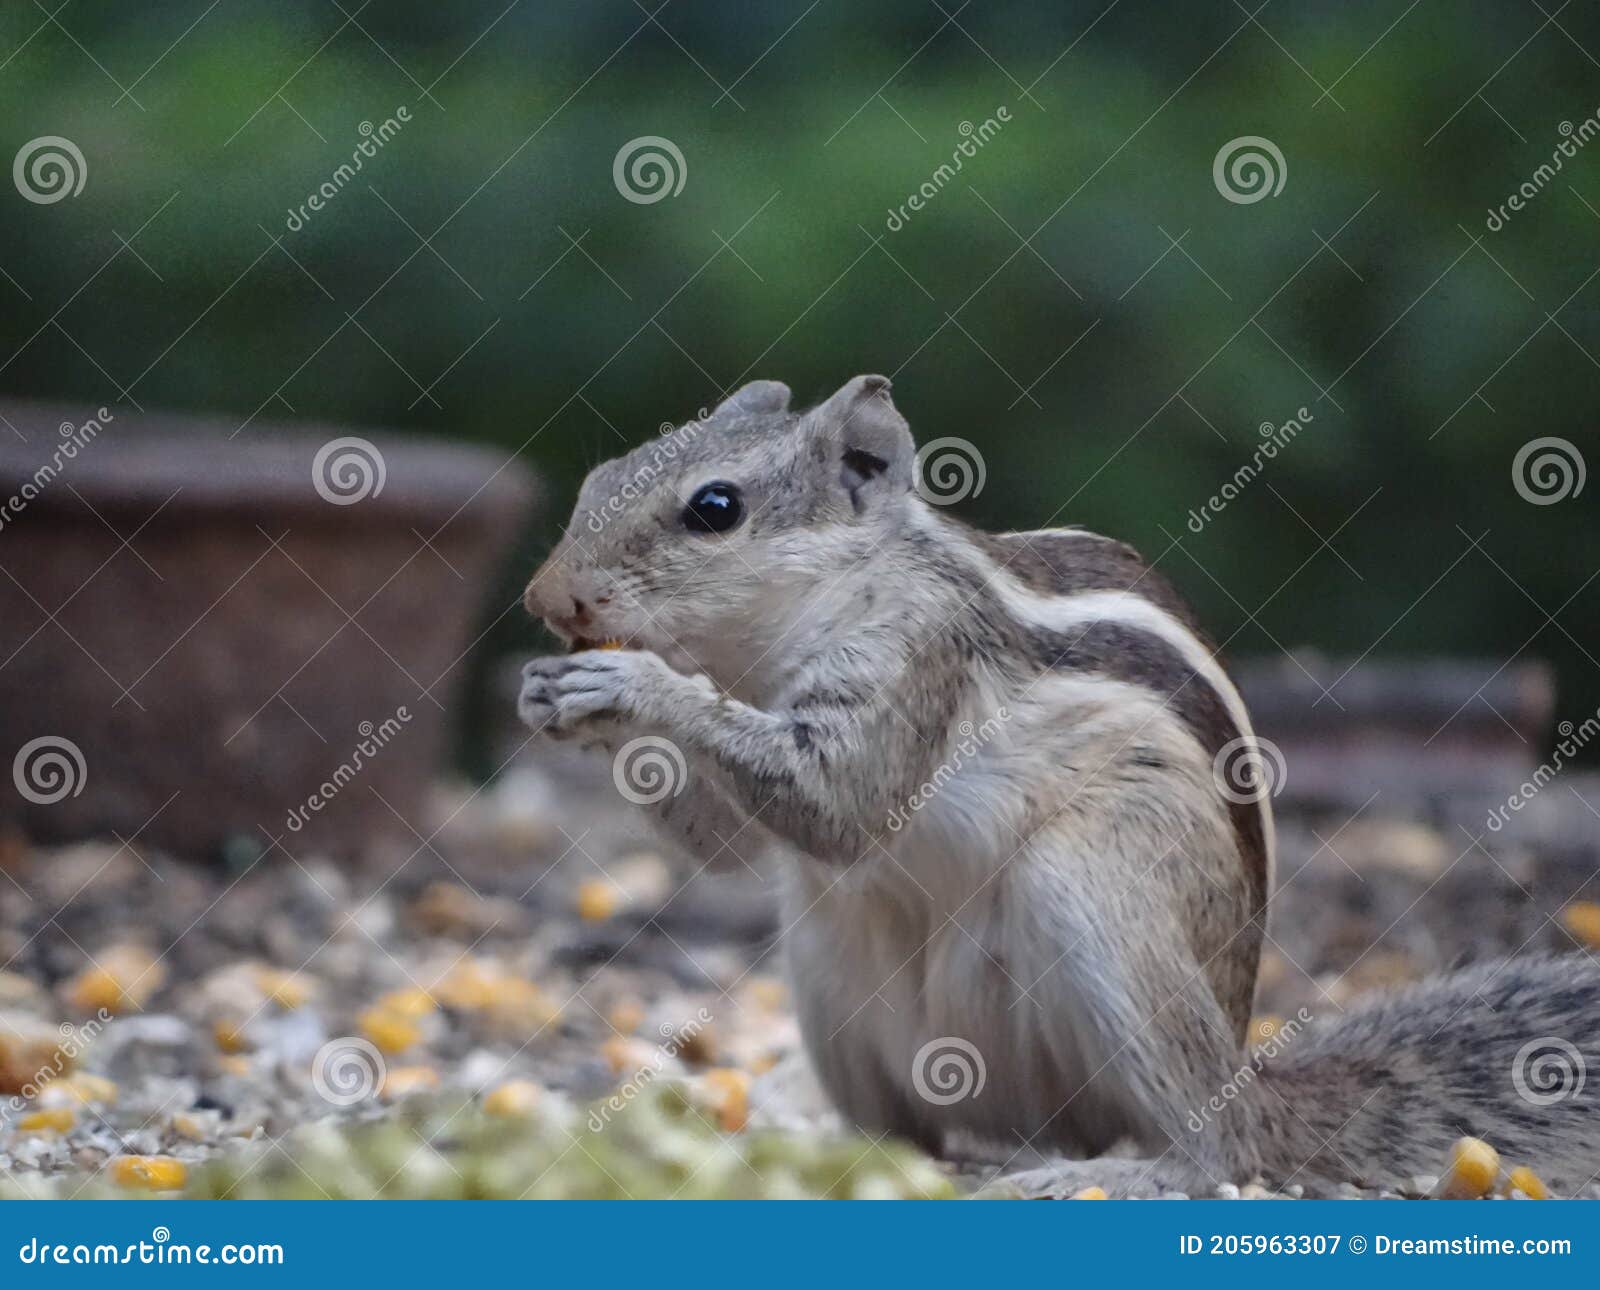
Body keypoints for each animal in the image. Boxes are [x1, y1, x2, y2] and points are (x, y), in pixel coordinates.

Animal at [519, 374, 1599, 1197]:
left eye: (715, 508)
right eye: (602, 476)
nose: (544, 599)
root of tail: (1251, 1079)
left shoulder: (917, 663)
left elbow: (839, 802)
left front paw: (634, 685)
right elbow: (732, 845)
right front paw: (555, 696)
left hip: (1102, 888)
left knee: (1216, 1151)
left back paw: (1115, 1172)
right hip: (828, 959)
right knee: (922, 1129)